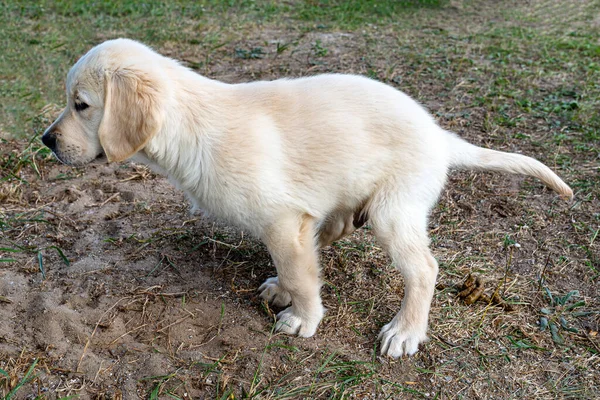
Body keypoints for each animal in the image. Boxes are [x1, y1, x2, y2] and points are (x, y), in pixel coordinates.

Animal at [42, 39, 572, 360]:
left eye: (81, 105)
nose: (46, 141)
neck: (191, 125)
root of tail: (440, 137)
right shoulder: (292, 222)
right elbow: (299, 265)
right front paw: (284, 290)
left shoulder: (282, 219)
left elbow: (301, 272)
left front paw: (303, 319)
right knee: (336, 227)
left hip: (393, 210)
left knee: (423, 269)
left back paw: (405, 331)